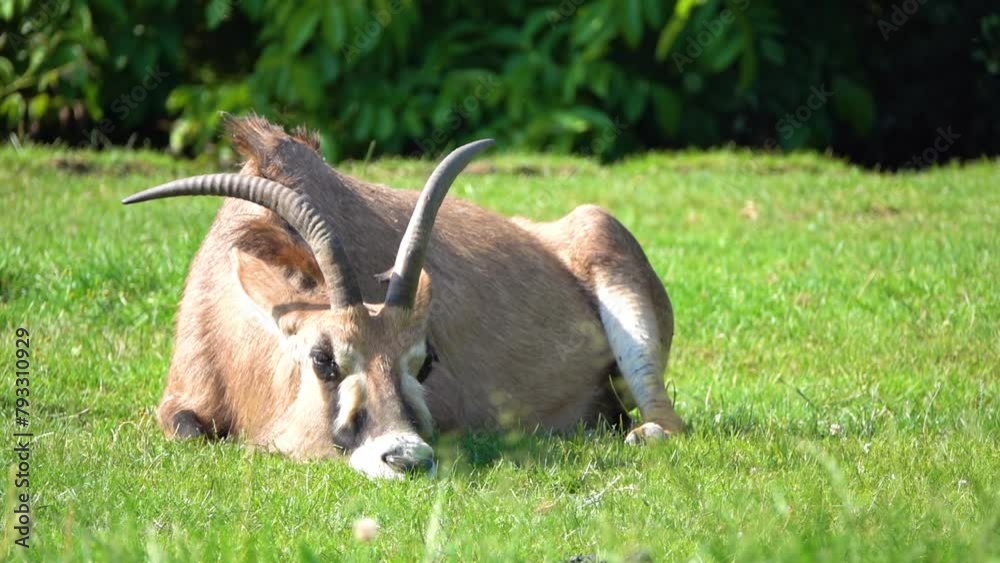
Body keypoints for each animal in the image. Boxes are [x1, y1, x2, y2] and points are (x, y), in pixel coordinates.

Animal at [123, 116, 685, 479]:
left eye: (425, 361)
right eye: (323, 360)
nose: (407, 459)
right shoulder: (181, 399)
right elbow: (188, 429)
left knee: (668, 422)